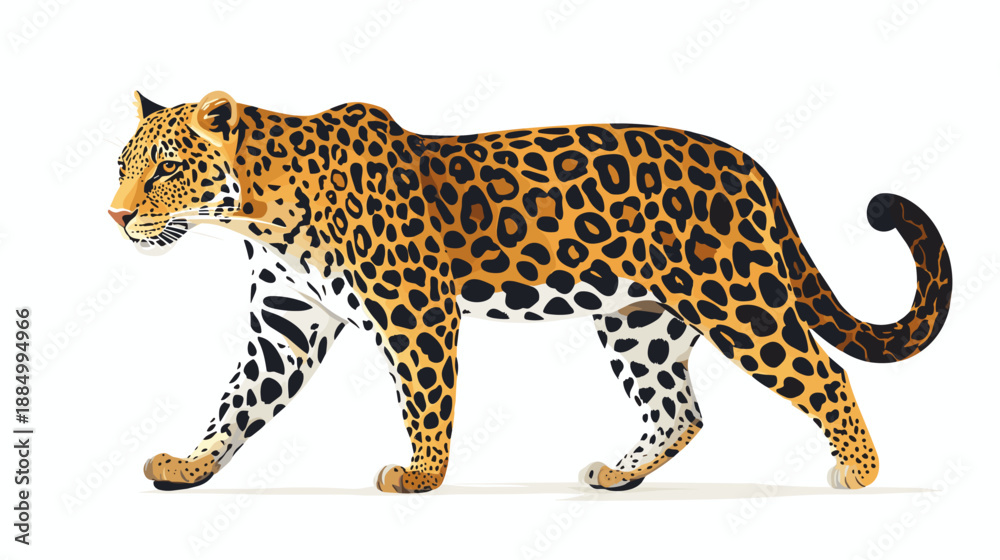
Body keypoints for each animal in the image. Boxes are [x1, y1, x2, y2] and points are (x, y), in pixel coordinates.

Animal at [109, 91, 952, 493]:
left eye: (166, 167)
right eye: (123, 164)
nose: (114, 216)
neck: (258, 212)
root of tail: (751, 165)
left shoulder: (413, 310)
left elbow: (424, 399)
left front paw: (420, 476)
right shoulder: (286, 324)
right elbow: (236, 401)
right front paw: (189, 466)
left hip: (737, 296)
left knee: (824, 373)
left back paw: (860, 472)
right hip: (639, 320)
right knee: (679, 409)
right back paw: (618, 474)